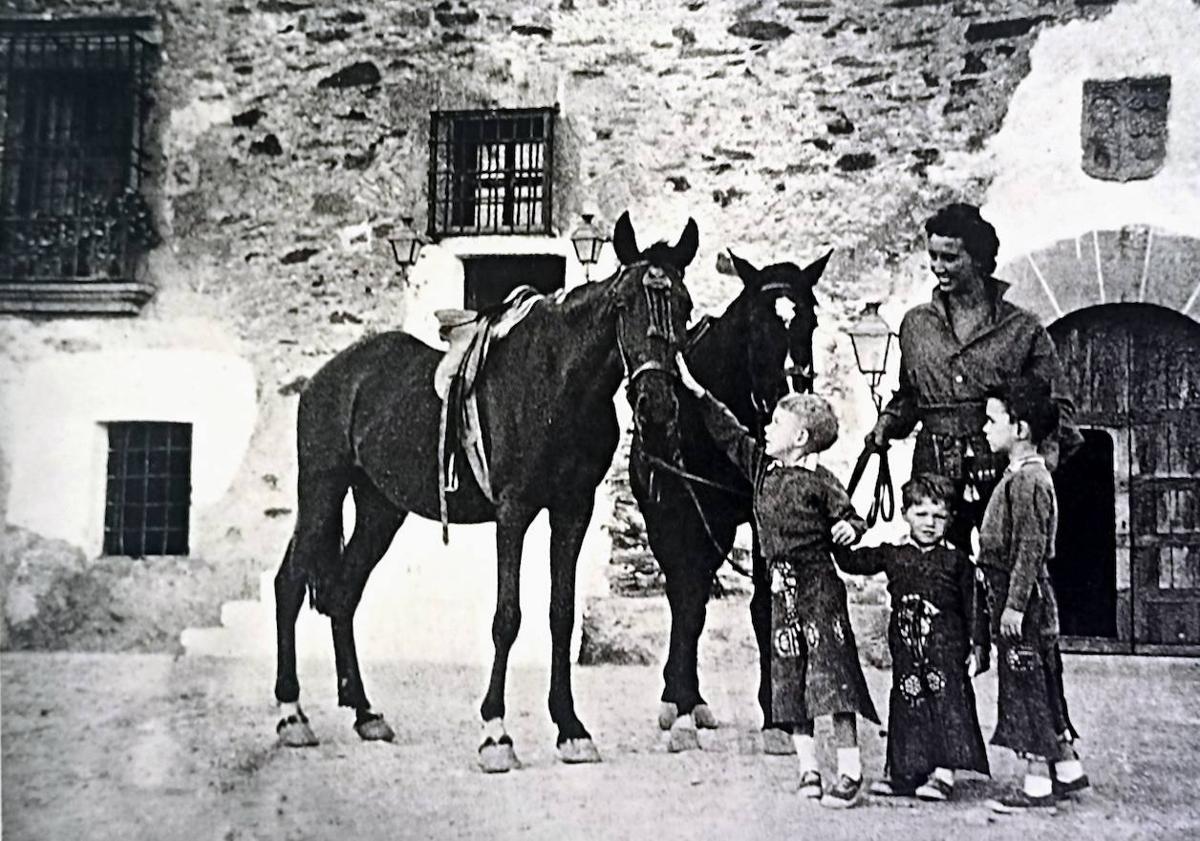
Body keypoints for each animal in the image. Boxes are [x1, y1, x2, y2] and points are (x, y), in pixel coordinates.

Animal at [273, 213, 700, 772]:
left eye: (685, 305)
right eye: (624, 303)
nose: (657, 405)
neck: (557, 384)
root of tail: (329, 377)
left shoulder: (572, 511)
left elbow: (561, 614)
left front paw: (570, 728)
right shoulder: (513, 511)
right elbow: (507, 617)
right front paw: (496, 733)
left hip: (379, 509)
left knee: (344, 594)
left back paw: (365, 711)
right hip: (321, 493)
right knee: (288, 585)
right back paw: (291, 714)